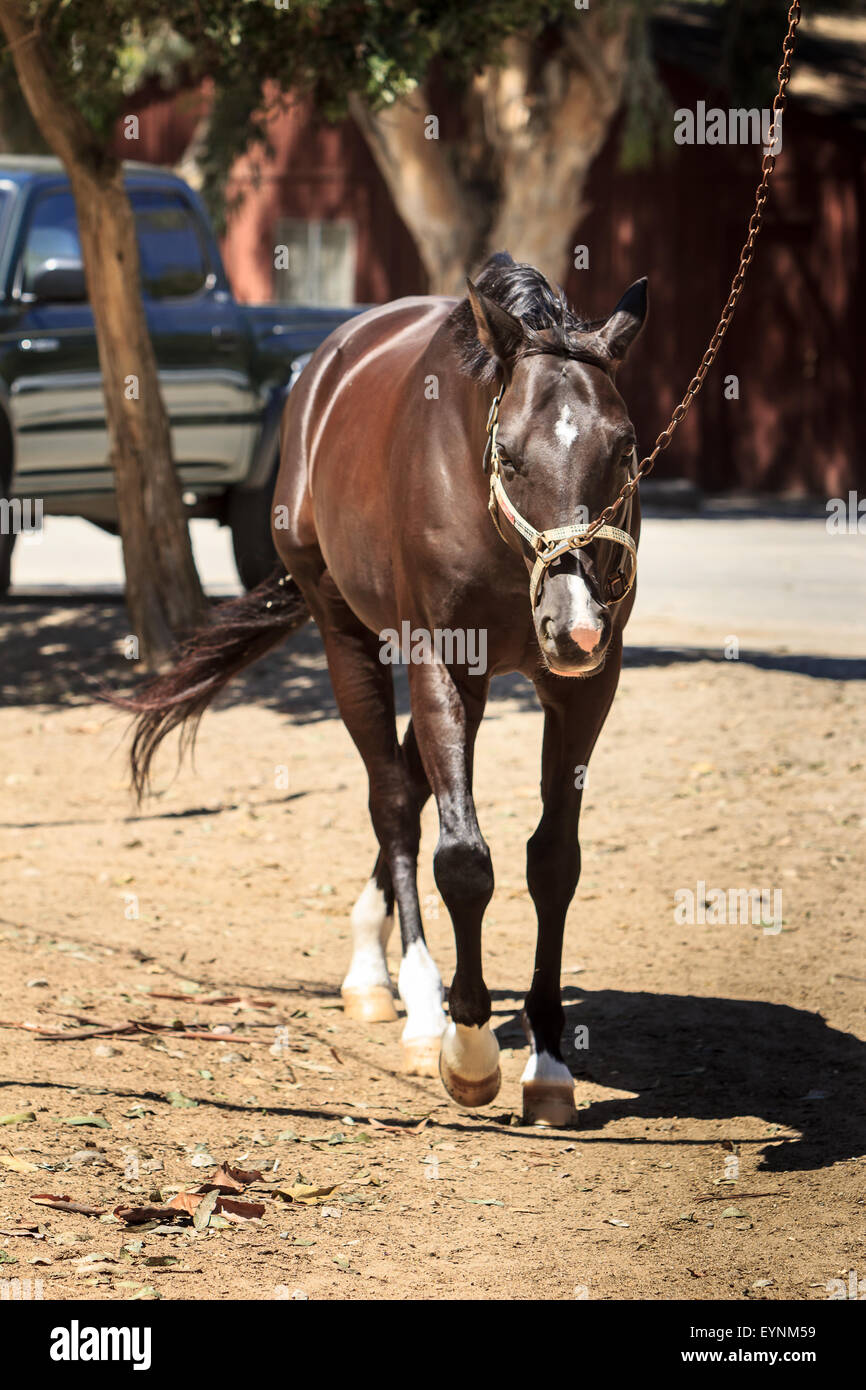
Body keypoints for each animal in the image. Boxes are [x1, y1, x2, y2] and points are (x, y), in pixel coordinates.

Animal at [125, 255, 647, 1128]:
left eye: (626, 447)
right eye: (509, 455)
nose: (574, 624)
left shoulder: (584, 688)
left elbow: (554, 862)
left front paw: (548, 1062)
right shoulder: (439, 660)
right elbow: (462, 857)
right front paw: (467, 1051)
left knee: (405, 778)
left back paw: (375, 957)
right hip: (349, 636)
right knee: (394, 799)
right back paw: (412, 998)